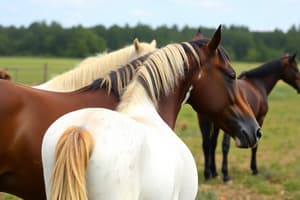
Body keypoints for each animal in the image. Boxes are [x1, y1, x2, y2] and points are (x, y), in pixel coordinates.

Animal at [199, 54, 300, 182]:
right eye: (296, 69)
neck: (257, 84)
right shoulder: (259, 119)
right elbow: (255, 145)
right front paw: (255, 169)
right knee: (223, 146)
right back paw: (225, 175)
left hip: (212, 122)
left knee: (209, 144)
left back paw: (211, 173)